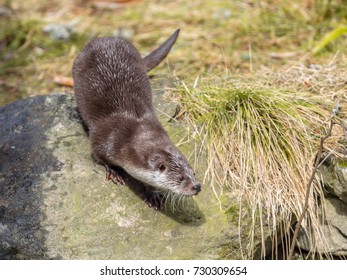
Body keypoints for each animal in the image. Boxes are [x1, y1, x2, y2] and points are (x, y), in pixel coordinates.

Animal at [72, 29, 203, 209]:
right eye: (180, 178)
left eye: (194, 172)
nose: (197, 186)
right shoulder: (100, 139)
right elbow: (99, 157)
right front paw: (114, 171)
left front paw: (153, 193)